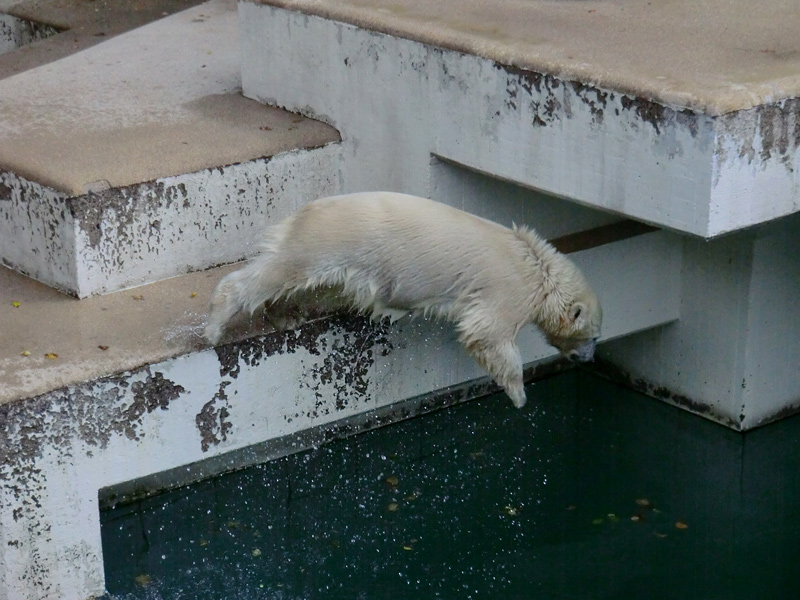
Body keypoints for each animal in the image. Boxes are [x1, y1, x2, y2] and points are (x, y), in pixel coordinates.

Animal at [205, 192, 600, 408]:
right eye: (593, 336)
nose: (589, 359)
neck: (540, 265)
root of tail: (305, 210)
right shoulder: (509, 290)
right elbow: (487, 333)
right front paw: (518, 394)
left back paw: (284, 315)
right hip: (331, 241)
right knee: (277, 272)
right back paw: (214, 325)